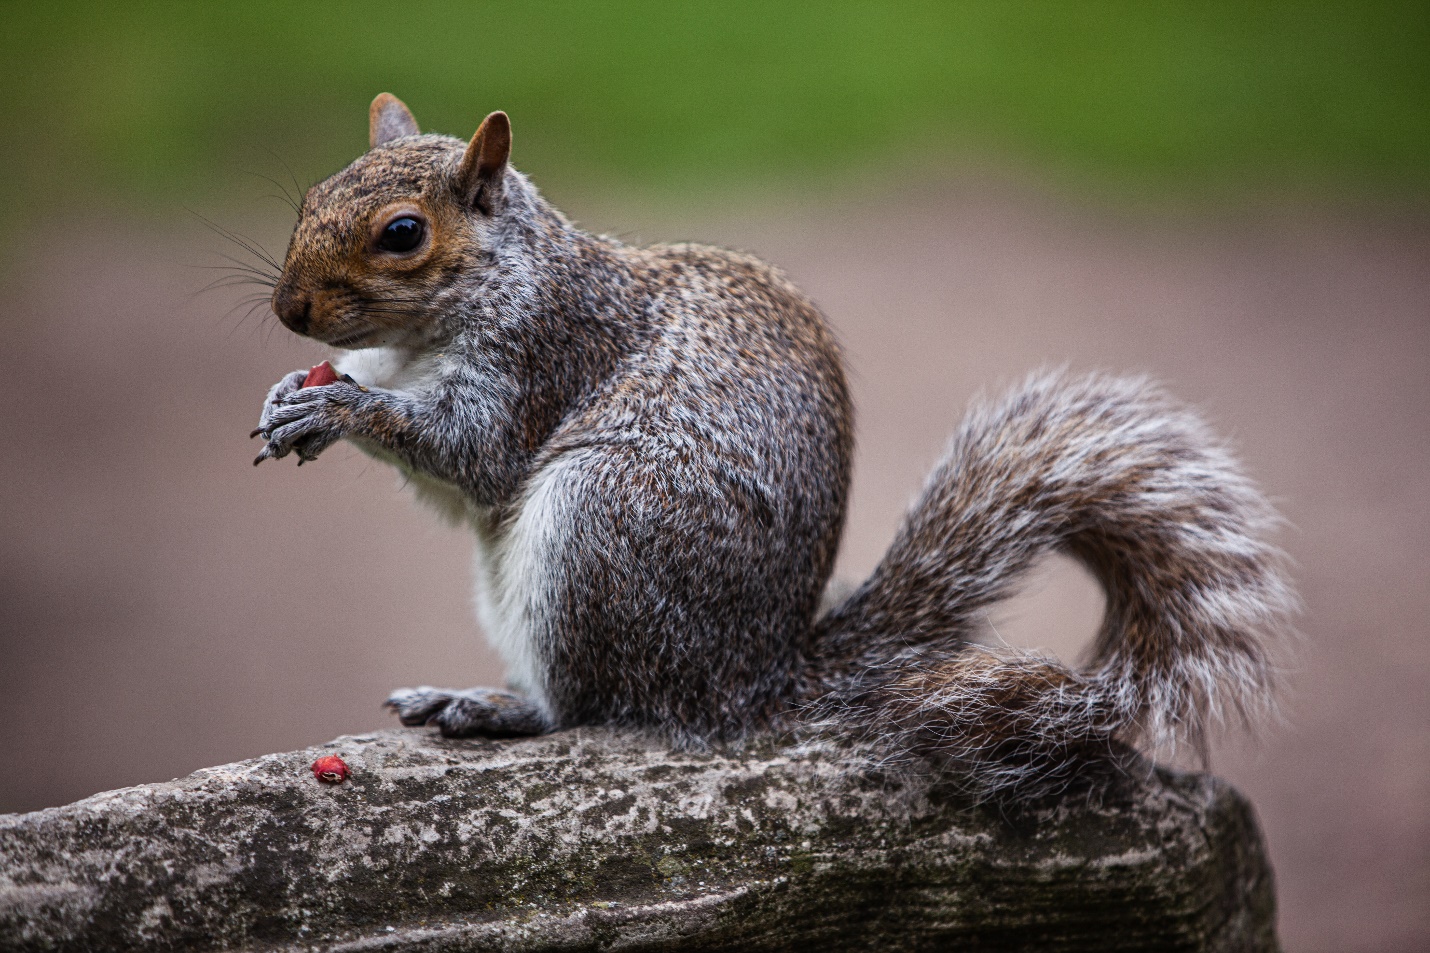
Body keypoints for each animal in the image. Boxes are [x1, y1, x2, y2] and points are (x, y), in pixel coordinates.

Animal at [254, 94, 1298, 795]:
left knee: (597, 702)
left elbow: (472, 454)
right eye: (311, 195)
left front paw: (341, 409)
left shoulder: (543, 354)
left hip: (598, 528)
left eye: (403, 233)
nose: (290, 310)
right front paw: (294, 394)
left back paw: (507, 706)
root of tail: (752, 682)